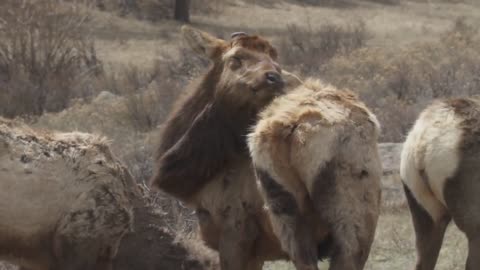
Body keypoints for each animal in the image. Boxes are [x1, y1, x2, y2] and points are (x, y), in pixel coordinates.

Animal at [152, 25, 380, 270]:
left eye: (275, 62)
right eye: (236, 58)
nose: (274, 78)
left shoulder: (235, 228)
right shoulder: (256, 252)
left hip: (287, 212)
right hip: (358, 218)